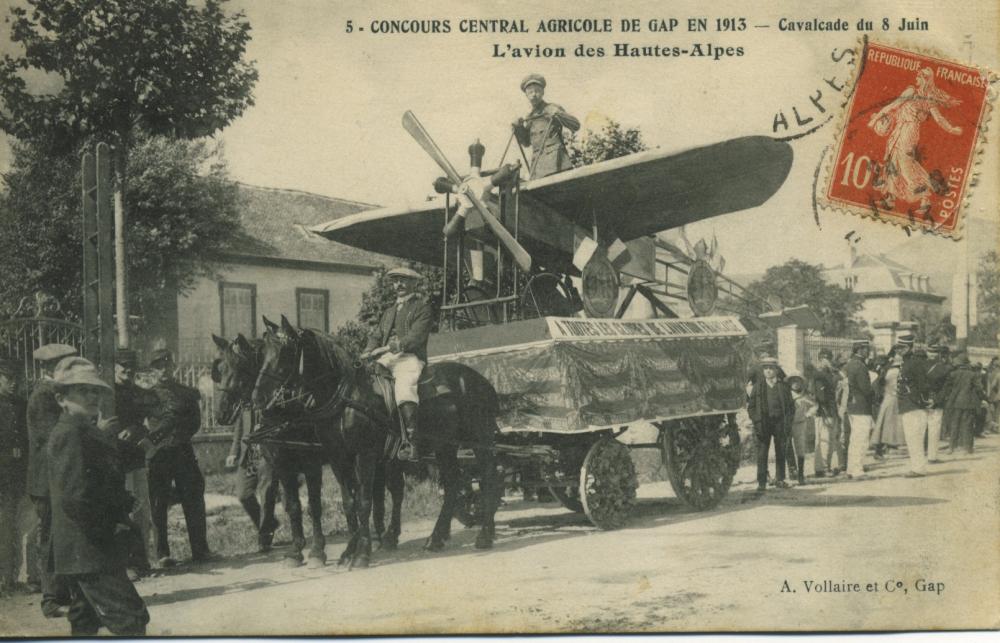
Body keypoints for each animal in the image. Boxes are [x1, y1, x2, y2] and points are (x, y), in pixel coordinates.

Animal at [211, 334, 332, 568]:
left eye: (240, 367)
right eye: (219, 368)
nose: (221, 413)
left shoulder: (311, 463)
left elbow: (314, 505)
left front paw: (317, 551)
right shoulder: (281, 464)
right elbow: (293, 506)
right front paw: (296, 550)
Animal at [250, 316, 500, 568]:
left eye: (284, 352)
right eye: (262, 354)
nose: (257, 399)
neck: (345, 395)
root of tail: (480, 379)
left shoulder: (364, 455)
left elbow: (363, 501)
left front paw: (361, 553)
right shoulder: (337, 457)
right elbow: (348, 502)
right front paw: (349, 551)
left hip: (480, 440)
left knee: (489, 477)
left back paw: (484, 535)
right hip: (445, 447)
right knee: (452, 484)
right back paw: (436, 538)